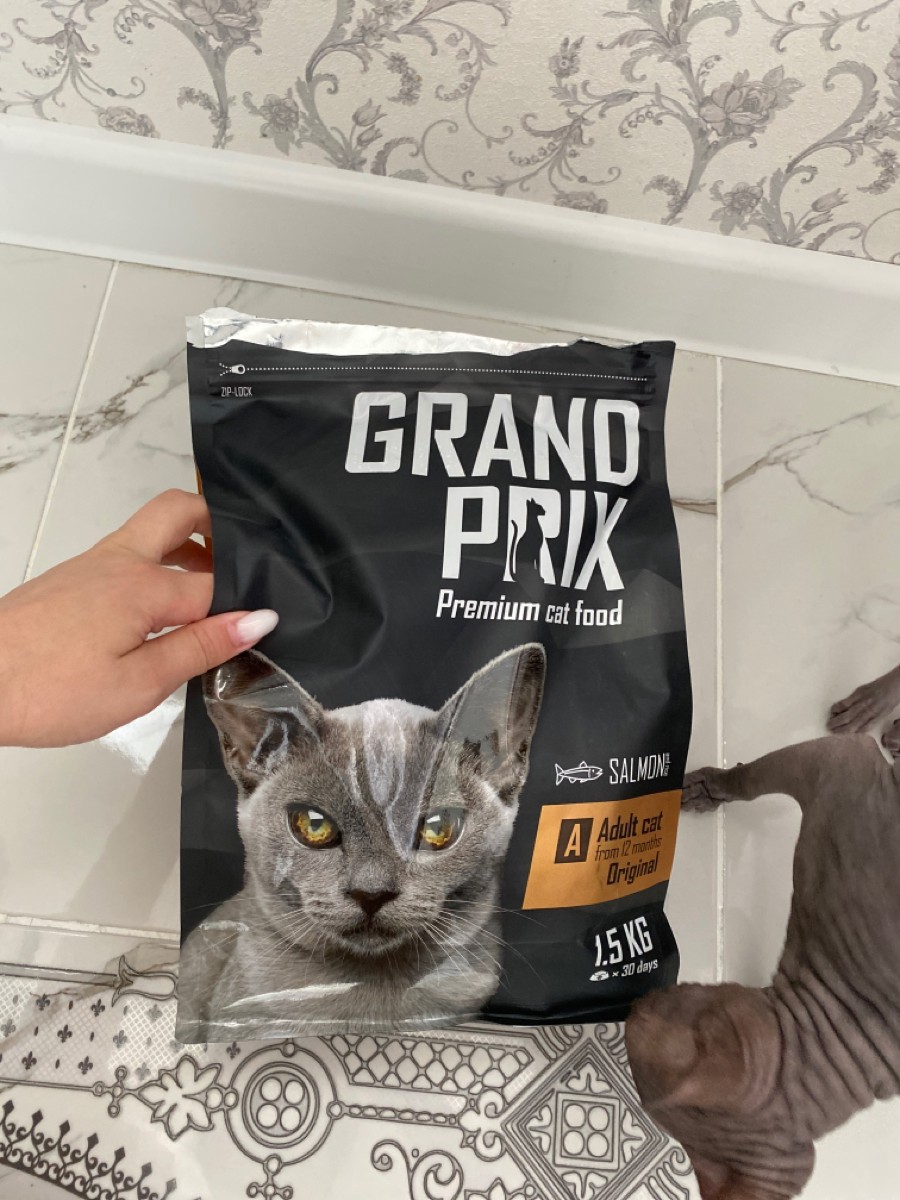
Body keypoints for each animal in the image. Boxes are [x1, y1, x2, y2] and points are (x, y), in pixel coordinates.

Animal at [625, 730, 900, 1200]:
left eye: (649, 1019)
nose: (633, 1004)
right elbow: (750, 779)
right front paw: (710, 789)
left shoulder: (839, 762)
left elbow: (751, 779)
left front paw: (713, 785)